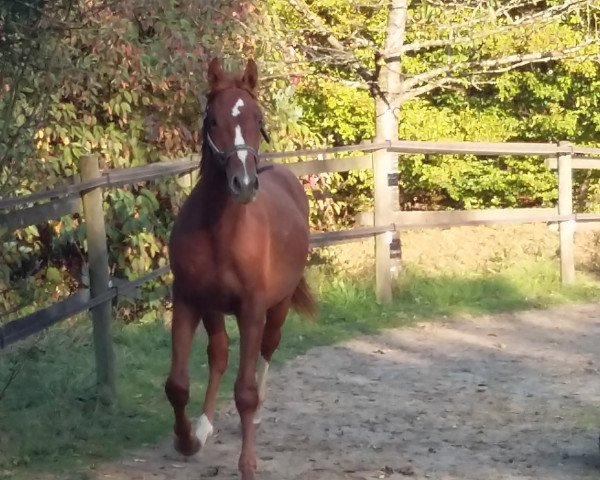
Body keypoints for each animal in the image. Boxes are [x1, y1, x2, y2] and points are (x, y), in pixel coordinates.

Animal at [162, 58, 316, 478]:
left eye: (257, 118)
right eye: (212, 119)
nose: (243, 184)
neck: (220, 233)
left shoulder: (251, 310)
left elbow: (244, 393)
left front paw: (248, 463)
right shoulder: (187, 300)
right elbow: (177, 384)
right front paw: (186, 440)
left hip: (277, 309)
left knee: (266, 350)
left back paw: (259, 407)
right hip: (213, 309)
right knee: (219, 353)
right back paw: (204, 425)